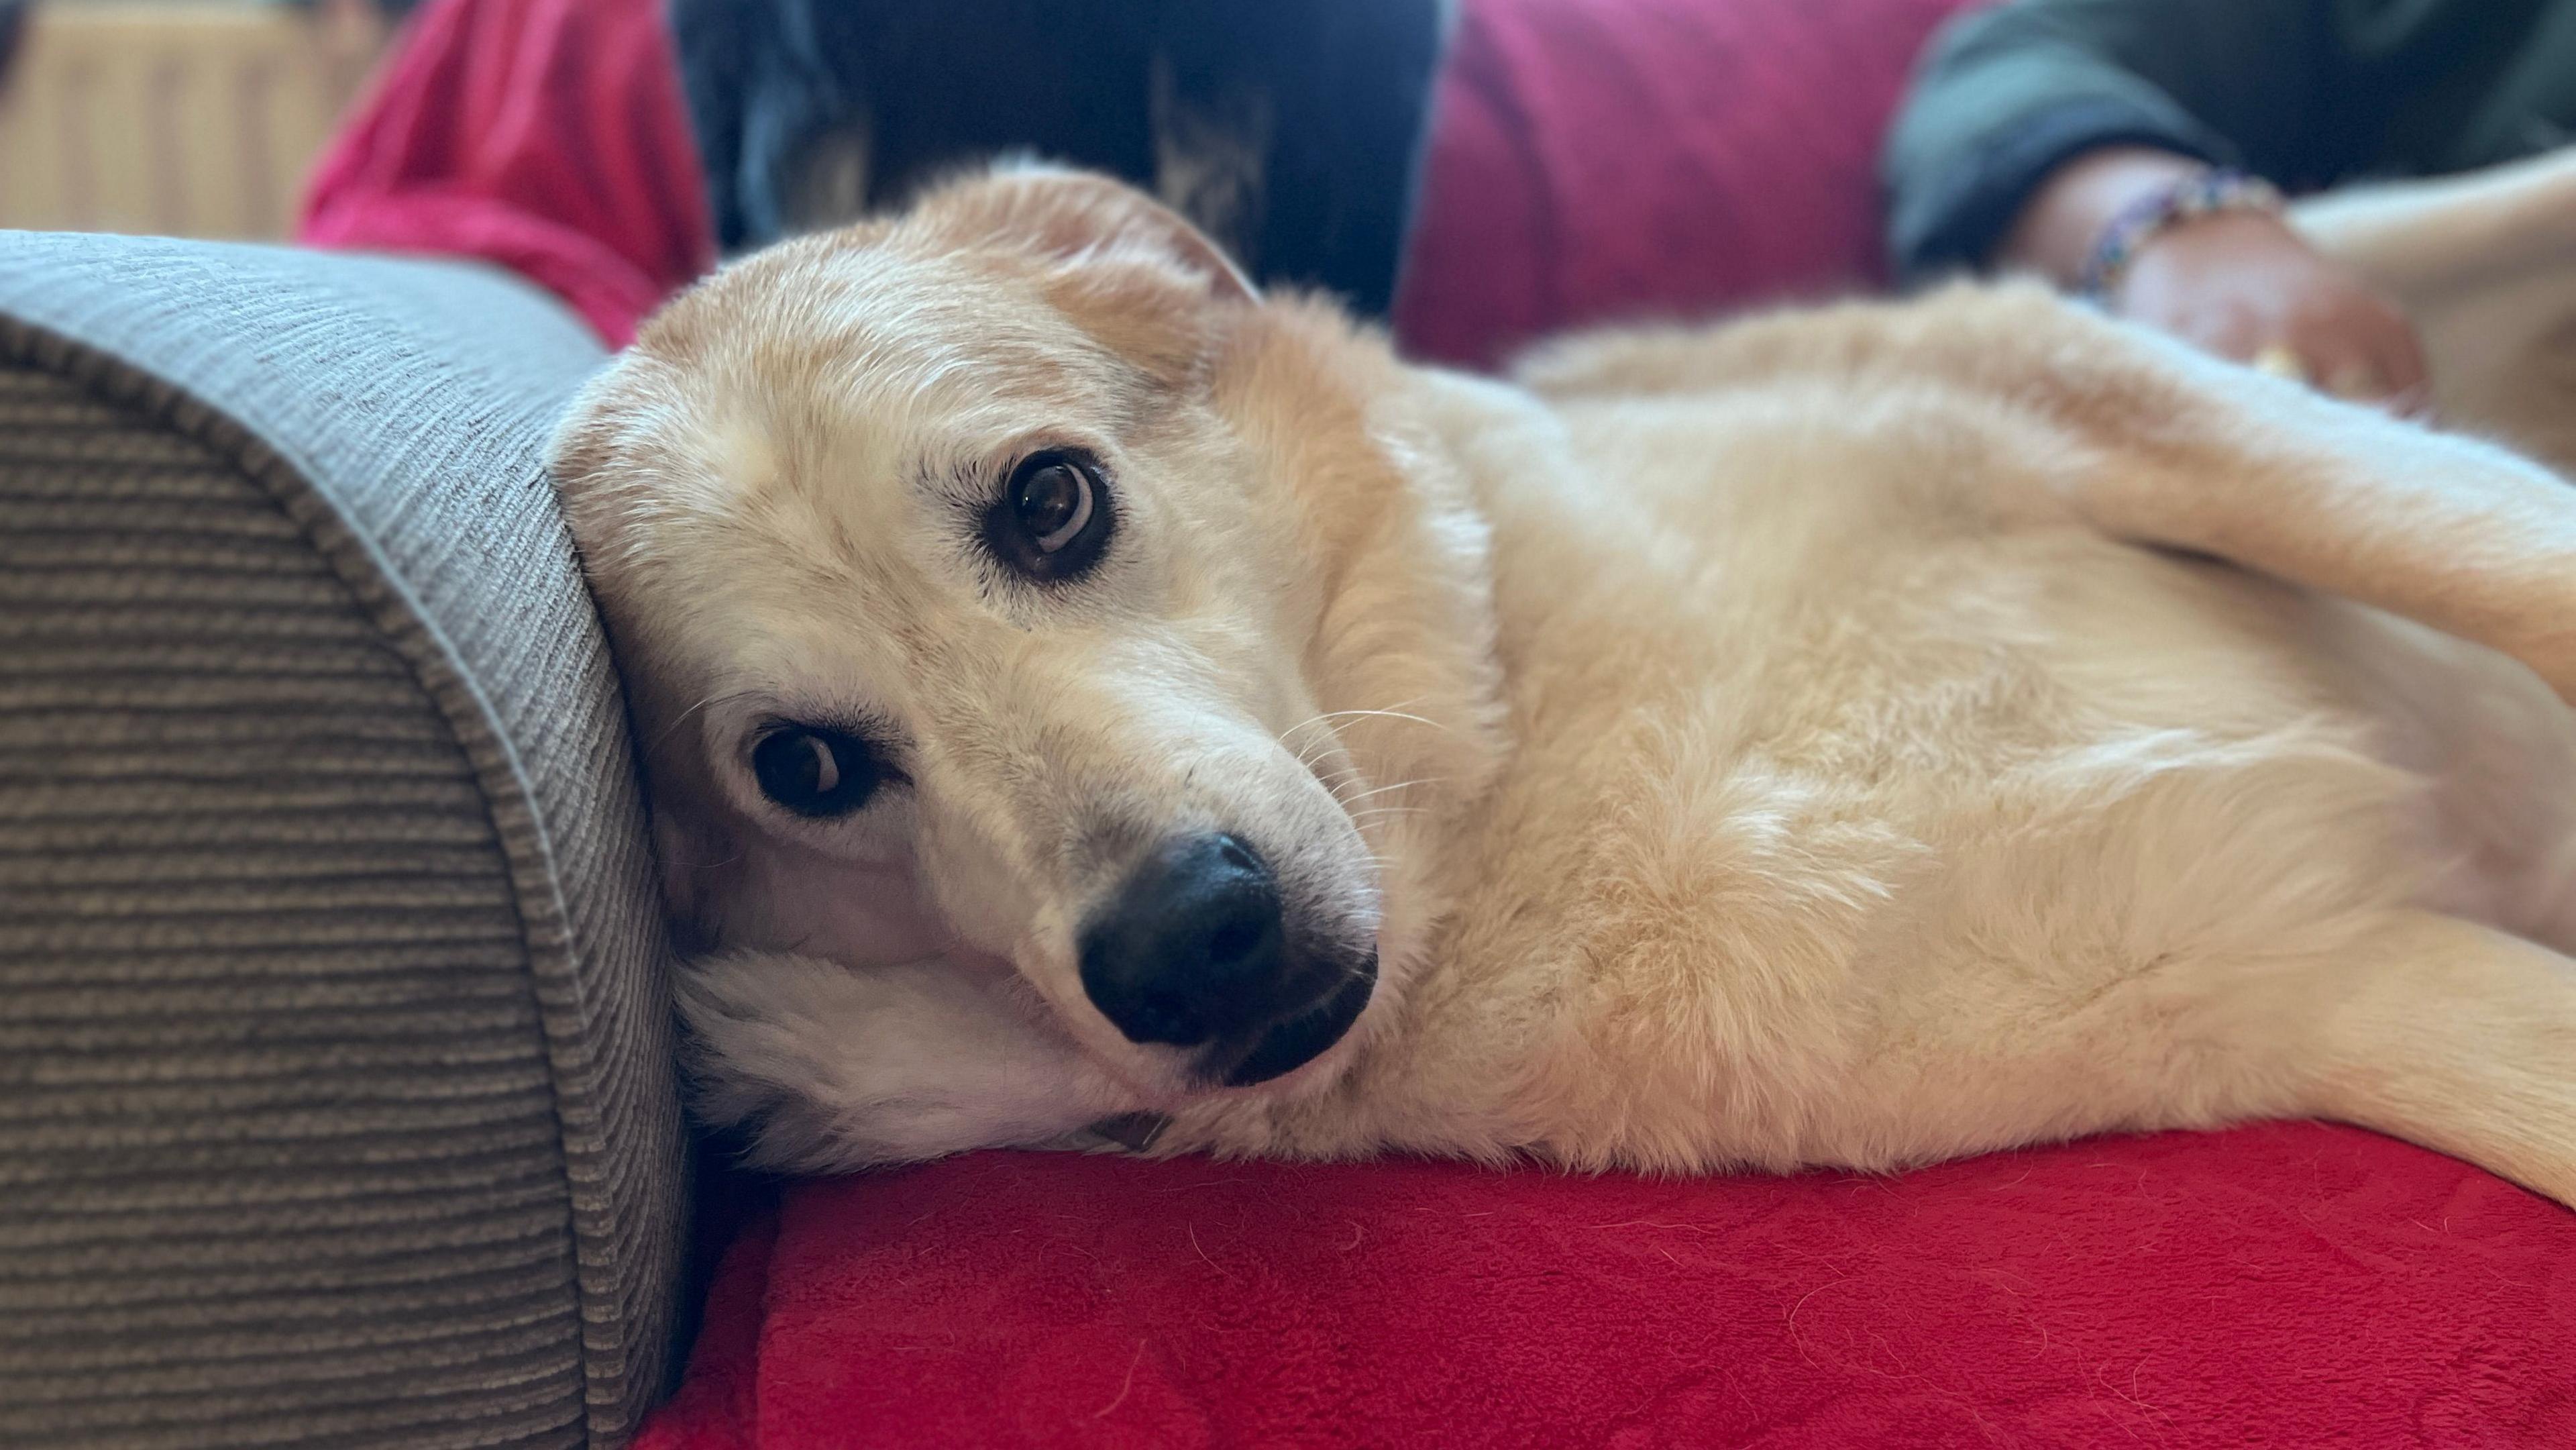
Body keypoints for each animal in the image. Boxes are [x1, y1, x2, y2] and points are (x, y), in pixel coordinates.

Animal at [553, 159, 2576, 1210]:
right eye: (807, 769)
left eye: (1051, 503)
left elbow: (2519, 567)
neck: (1530, 780)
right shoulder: (2321, 976)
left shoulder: (2058, 400)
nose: (1189, 945)